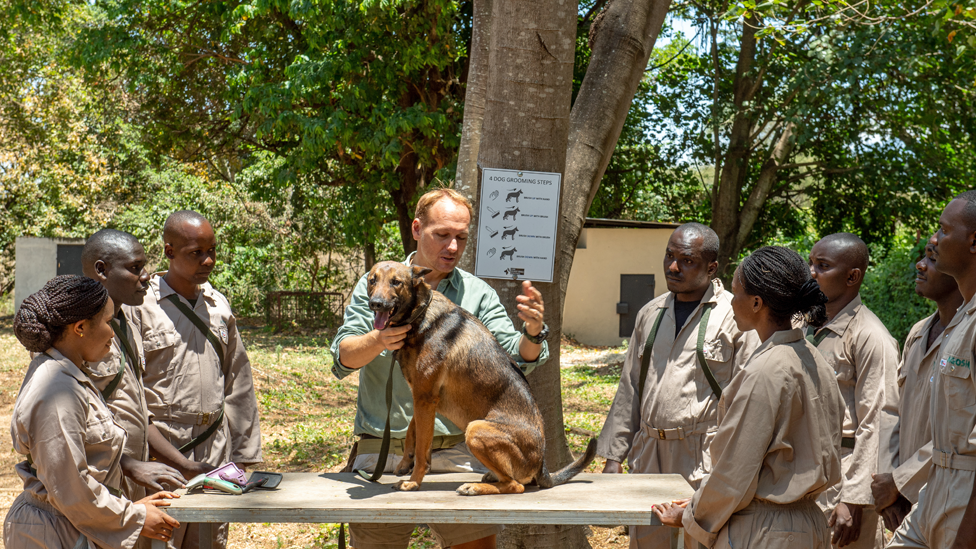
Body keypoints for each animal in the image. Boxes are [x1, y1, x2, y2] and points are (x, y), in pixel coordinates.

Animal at [364, 260, 596, 494]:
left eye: (396, 282)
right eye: (372, 280)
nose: (376, 304)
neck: (420, 313)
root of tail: (541, 466)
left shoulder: (425, 398)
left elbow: (422, 447)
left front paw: (413, 481)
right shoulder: (423, 398)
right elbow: (413, 432)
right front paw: (405, 463)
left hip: (475, 429)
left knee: (515, 486)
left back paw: (474, 487)